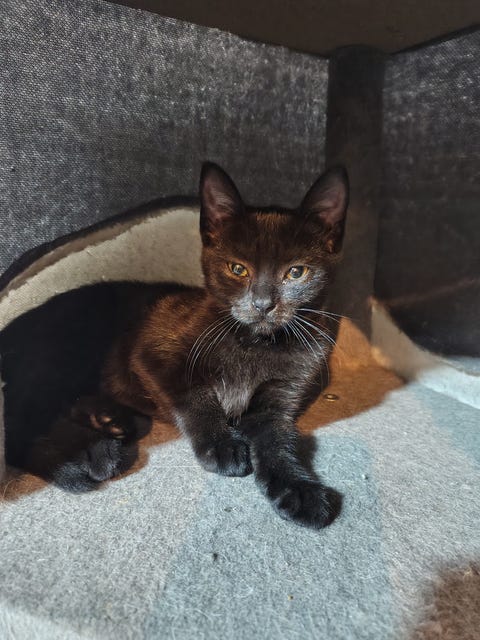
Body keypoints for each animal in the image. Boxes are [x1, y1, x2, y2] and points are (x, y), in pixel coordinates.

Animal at [1, 162, 349, 529]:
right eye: (237, 269)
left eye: (296, 273)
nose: (263, 304)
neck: (254, 342)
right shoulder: (151, 356)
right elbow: (194, 396)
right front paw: (221, 444)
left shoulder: (280, 399)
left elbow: (280, 440)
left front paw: (299, 487)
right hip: (62, 353)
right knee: (18, 423)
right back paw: (89, 456)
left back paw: (111, 423)